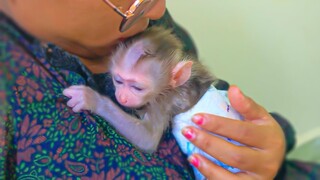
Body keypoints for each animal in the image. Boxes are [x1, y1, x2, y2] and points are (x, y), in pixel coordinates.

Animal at [62, 26, 242, 179]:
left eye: (137, 87)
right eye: (118, 81)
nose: (121, 97)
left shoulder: (164, 102)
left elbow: (147, 138)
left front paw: (91, 99)